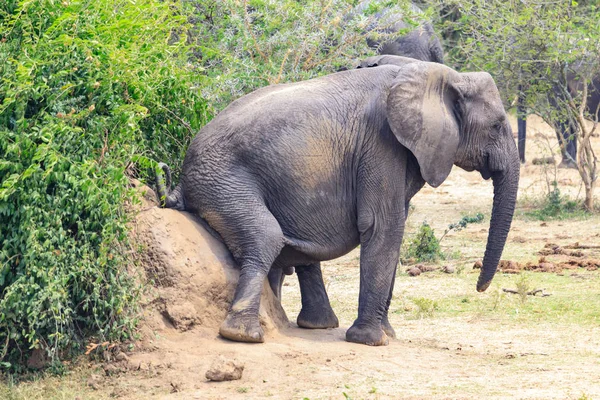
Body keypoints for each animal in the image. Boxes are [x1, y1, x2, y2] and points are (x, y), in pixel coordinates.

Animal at [159, 58, 520, 344]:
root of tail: (181, 178)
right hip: (222, 179)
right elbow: (382, 226)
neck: (439, 75)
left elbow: (393, 229)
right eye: (497, 125)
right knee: (266, 236)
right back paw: (243, 335)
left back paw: (311, 324)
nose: (479, 288)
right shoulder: (381, 144)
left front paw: (387, 334)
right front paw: (371, 341)